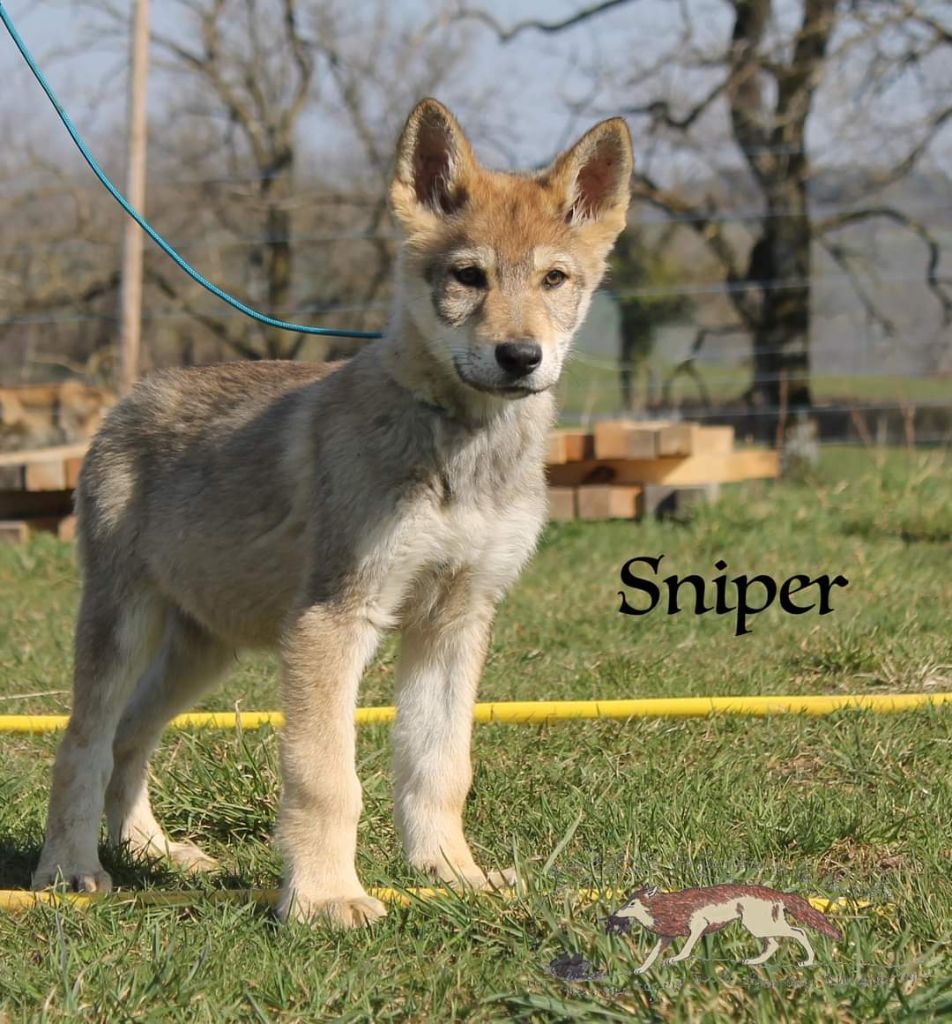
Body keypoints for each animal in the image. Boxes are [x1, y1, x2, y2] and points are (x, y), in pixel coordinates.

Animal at [35, 97, 630, 929]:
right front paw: (324, 897)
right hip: (123, 625)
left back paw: (155, 851)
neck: (459, 447)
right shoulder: (334, 621)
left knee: (130, 736)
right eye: (468, 276)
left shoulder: (455, 622)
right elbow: (326, 779)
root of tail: (132, 395)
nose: (520, 357)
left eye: (554, 278)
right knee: (81, 743)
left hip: (205, 648)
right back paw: (69, 871)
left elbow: (440, 766)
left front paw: (453, 874)